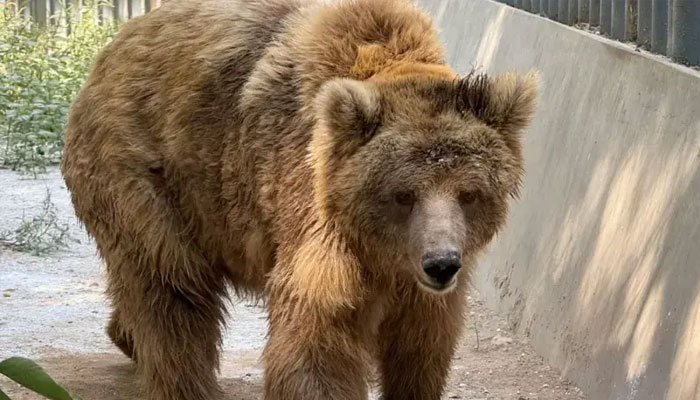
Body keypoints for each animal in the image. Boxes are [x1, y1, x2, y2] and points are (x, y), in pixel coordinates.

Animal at [60, 0, 537, 399]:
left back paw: (124, 336)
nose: (441, 264)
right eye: (403, 194)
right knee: (172, 291)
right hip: (150, 169)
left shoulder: (425, 277)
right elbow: (317, 337)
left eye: (470, 193)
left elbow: (421, 344)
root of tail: (114, 47)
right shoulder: (314, 211)